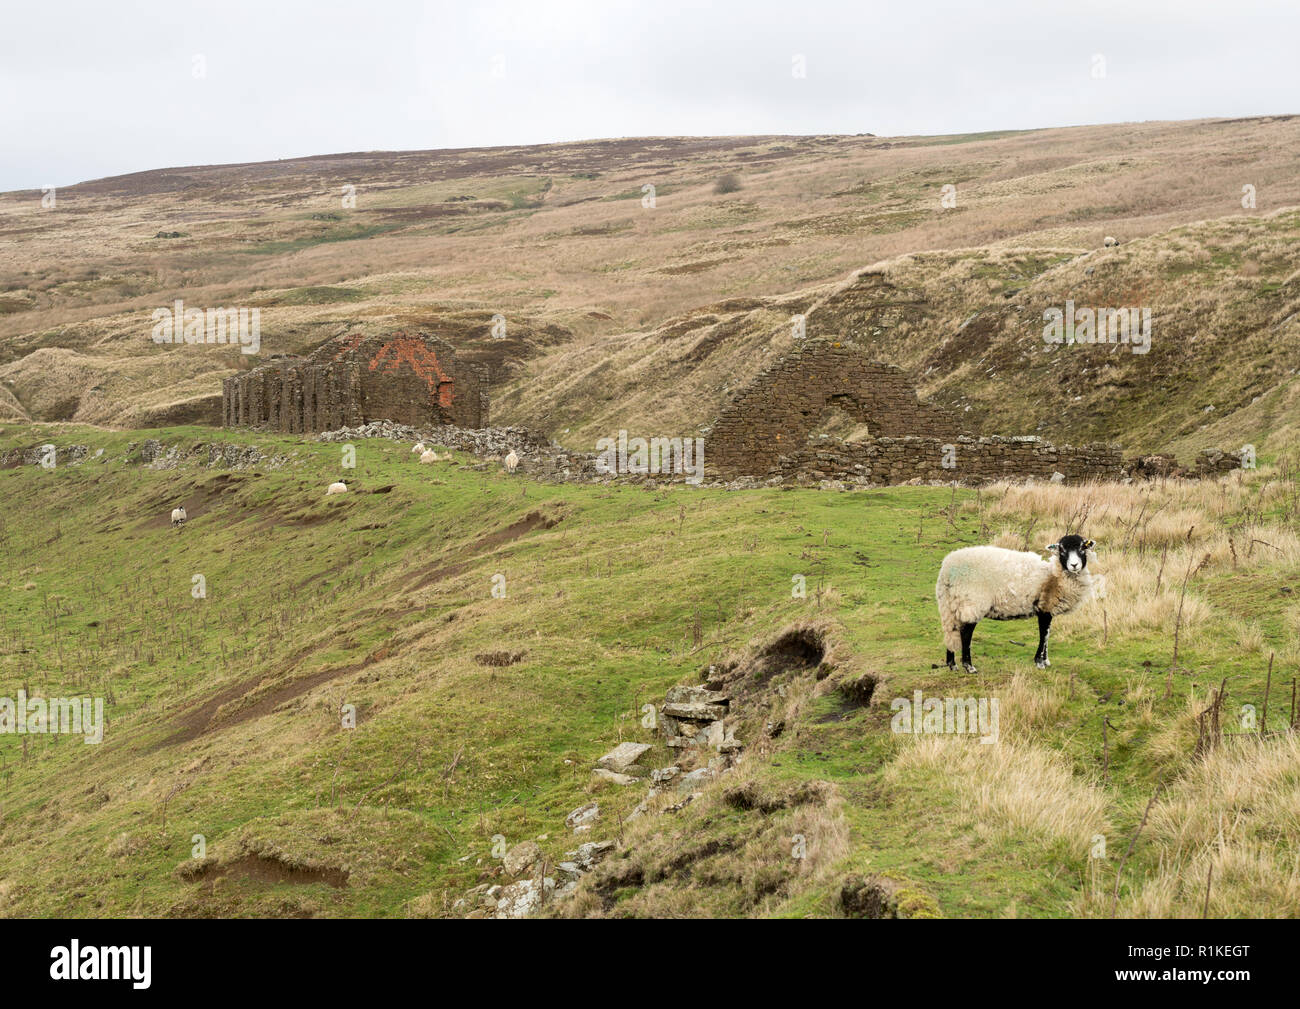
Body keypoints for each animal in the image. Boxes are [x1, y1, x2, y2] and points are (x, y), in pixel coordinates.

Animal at [935, 533, 1097, 676]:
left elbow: (1048, 634)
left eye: (1082, 548)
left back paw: (952, 664)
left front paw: (1046, 660)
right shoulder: (1044, 608)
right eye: (1062, 550)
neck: (1054, 576)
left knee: (951, 630)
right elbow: (1043, 635)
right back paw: (969, 667)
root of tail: (947, 569)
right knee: (965, 633)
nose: (1074, 565)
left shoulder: (1048, 609)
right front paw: (1039, 662)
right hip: (972, 602)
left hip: (950, 604)